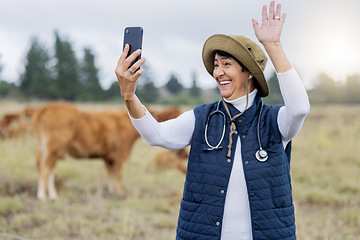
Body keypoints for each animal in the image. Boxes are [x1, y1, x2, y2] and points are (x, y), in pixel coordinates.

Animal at [32, 102, 181, 202]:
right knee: (45, 170)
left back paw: (52, 195)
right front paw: (120, 192)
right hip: (53, 149)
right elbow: (118, 174)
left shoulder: (108, 157)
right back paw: (42, 196)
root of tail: (50, 106)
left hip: (47, 150)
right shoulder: (120, 155)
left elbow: (111, 173)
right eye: (174, 116)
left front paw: (112, 191)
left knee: (48, 170)